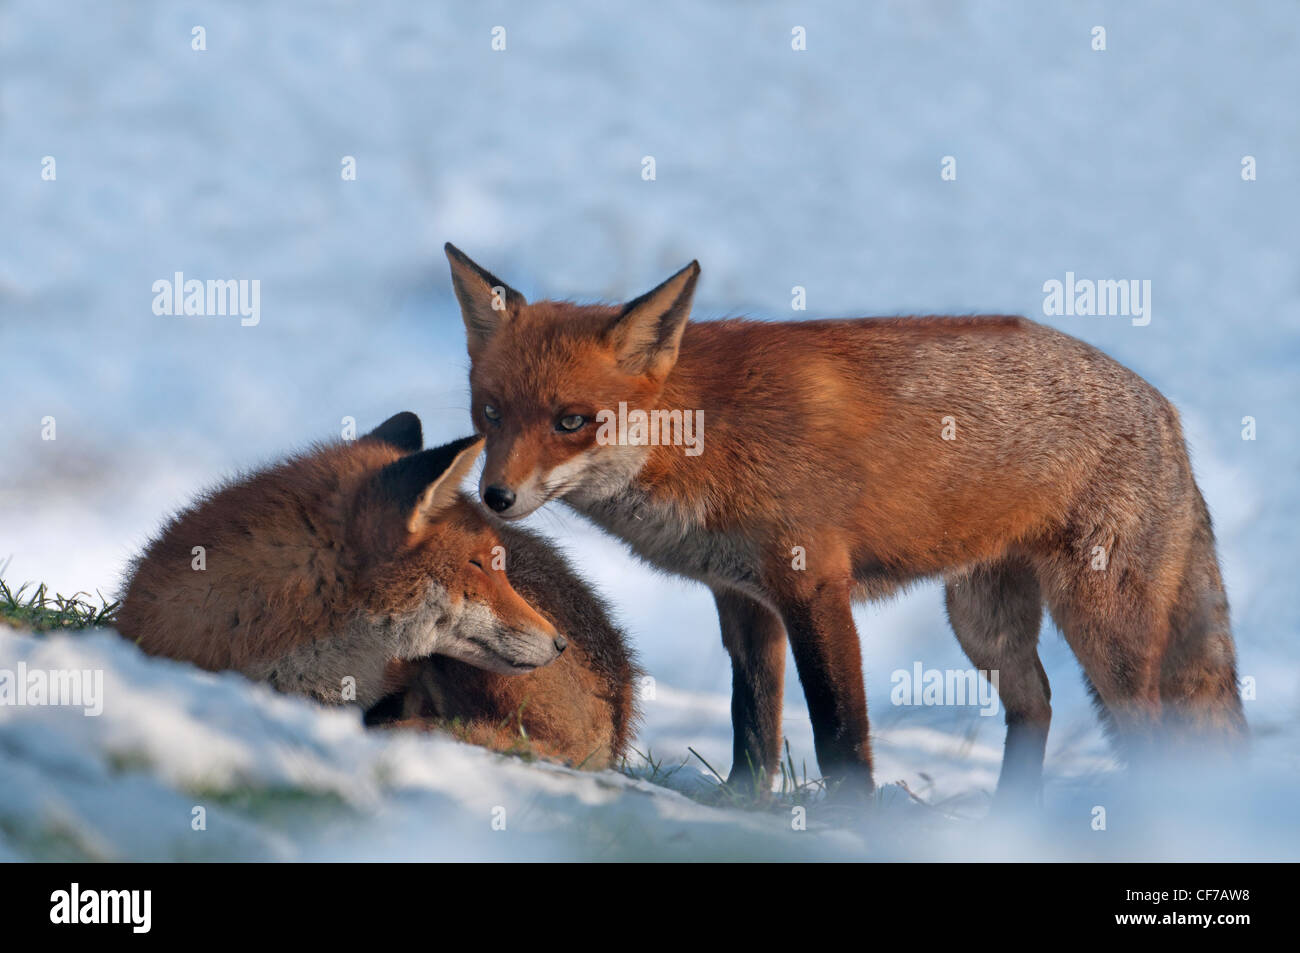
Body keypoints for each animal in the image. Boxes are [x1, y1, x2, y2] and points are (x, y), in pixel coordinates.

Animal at [447, 241, 1248, 790]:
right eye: (489, 413)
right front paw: (744, 803)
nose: (495, 498)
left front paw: (855, 819)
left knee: (1152, 734)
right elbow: (753, 720)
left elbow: (838, 729)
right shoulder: (742, 596)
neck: (705, 437)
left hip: (1104, 629)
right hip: (983, 622)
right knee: (1039, 705)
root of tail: (1165, 408)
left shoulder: (815, 587)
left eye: (571, 421)